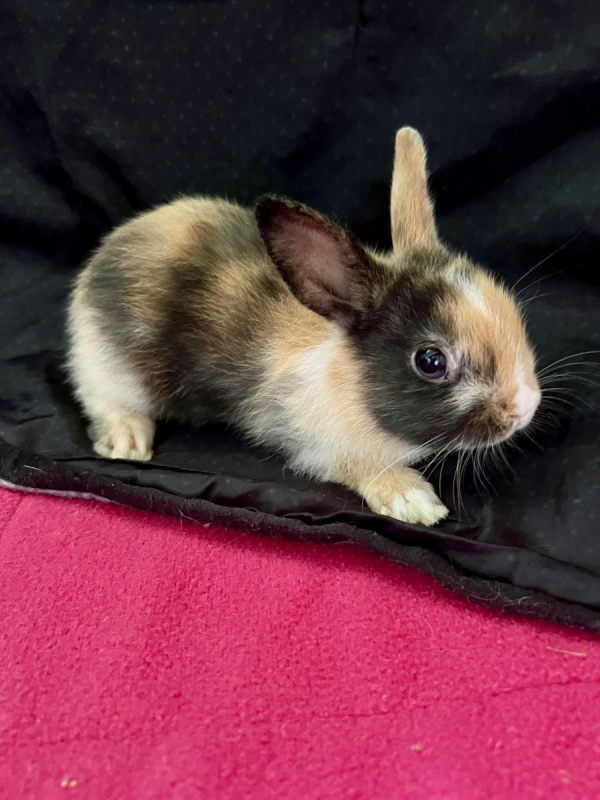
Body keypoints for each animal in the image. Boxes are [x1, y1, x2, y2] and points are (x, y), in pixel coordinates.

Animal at [67, 127, 541, 526]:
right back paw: (128, 442)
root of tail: (108, 251)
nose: (525, 407)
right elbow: (359, 466)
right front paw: (414, 500)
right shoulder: (313, 442)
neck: (346, 380)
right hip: (109, 362)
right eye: (430, 361)